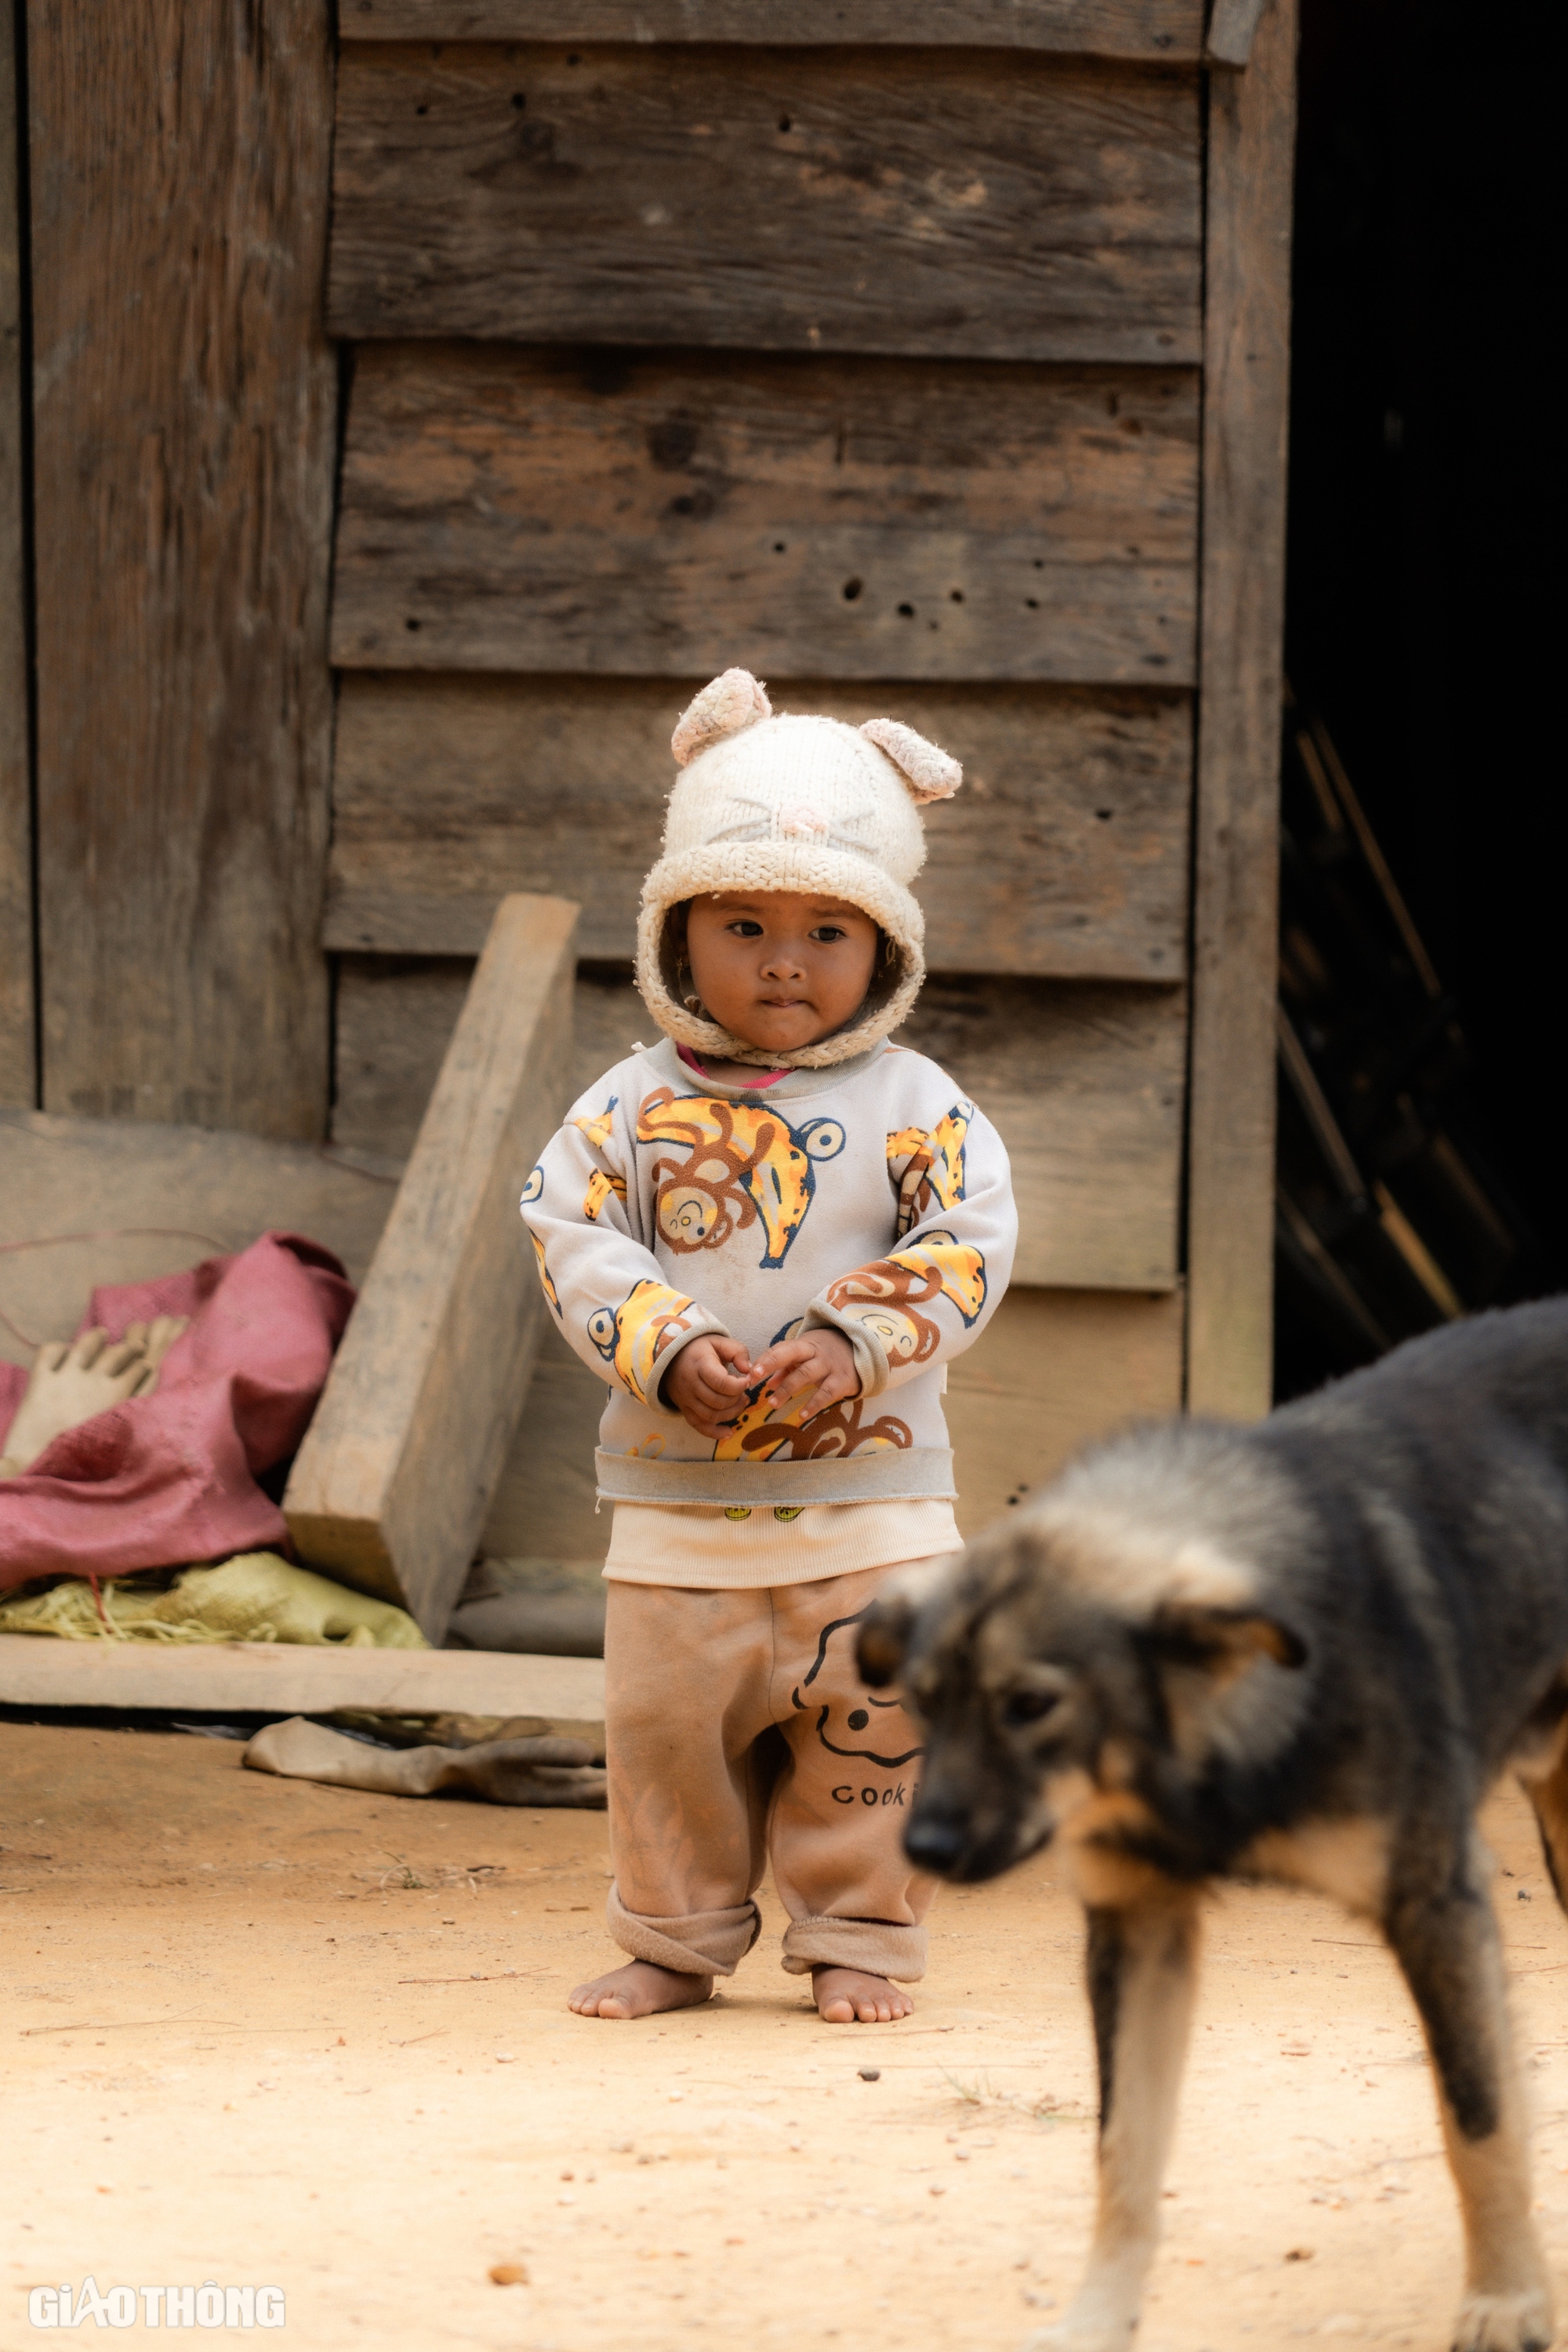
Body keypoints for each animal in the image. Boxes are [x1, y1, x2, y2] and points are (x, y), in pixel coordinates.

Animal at [860, 1308, 1568, 2352]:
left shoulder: (1434, 1905)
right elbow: (1120, 2151)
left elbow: (1476, 2121)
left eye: (1030, 1705)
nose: (926, 1854)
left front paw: (1505, 2300)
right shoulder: (1137, 1928)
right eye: (920, 1703)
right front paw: (1095, 2320)